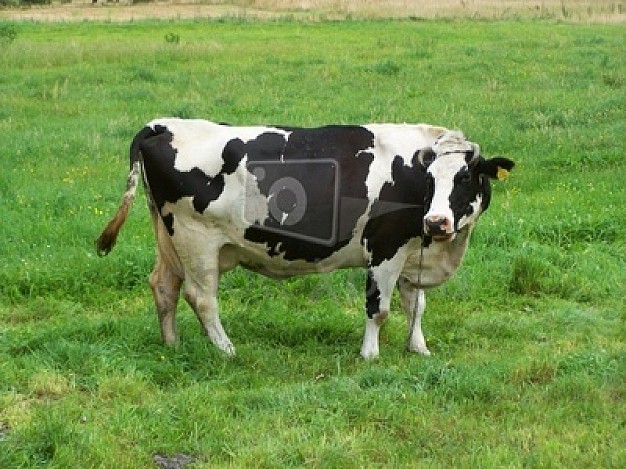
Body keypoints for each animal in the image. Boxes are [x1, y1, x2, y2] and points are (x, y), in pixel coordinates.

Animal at [96, 119, 512, 356]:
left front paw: (419, 349)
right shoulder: (385, 248)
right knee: (201, 298)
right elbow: (379, 309)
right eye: (430, 180)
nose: (437, 221)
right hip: (195, 239)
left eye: (466, 178)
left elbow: (416, 307)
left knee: (163, 286)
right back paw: (227, 350)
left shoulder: (412, 251)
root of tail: (161, 124)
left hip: (169, 237)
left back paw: (172, 345)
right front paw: (370, 356)